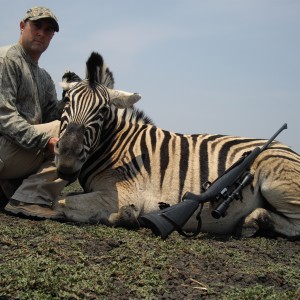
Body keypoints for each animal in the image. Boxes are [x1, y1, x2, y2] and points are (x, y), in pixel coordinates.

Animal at [54, 51, 300, 239]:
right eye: (66, 101)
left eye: (103, 111)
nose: (66, 161)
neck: (116, 148)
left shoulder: (122, 195)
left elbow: (59, 203)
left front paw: (125, 217)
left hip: (278, 185)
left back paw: (254, 220)